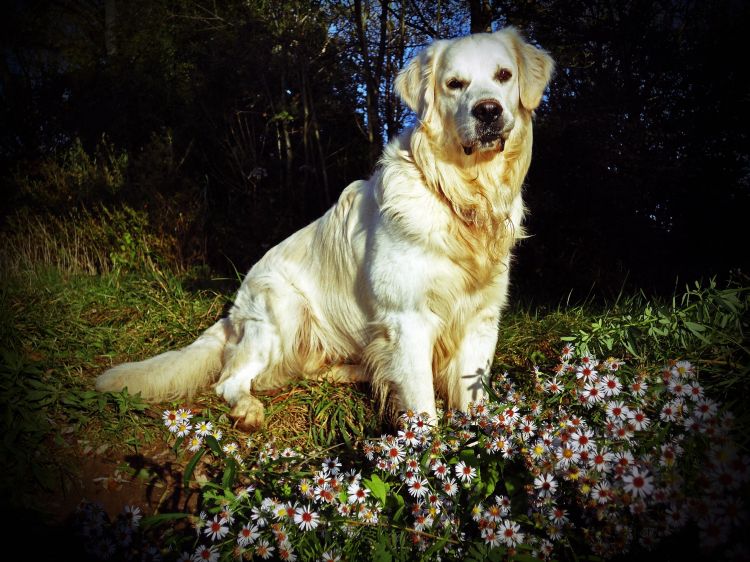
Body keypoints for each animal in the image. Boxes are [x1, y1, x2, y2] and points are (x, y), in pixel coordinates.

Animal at [97, 27, 556, 428]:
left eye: (503, 75)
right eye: (455, 84)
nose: (488, 111)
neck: (460, 197)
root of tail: (235, 310)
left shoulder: (481, 319)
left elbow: (472, 397)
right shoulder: (408, 320)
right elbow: (422, 408)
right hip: (285, 308)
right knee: (231, 379)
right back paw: (248, 409)